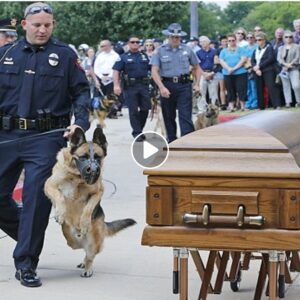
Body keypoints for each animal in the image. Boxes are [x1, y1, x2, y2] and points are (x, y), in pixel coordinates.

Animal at [44, 127, 135, 278]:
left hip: (93, 241)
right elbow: (60, 197)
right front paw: (60, 213)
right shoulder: (49, 186)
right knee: (79, 246)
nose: (93, 170)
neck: (76, 177)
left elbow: (88, 208)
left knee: (90, 254)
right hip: (70, 237)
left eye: (98, 157)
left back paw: (87, 267)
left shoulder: (98, 192)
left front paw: (85, 222)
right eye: (83, 157)